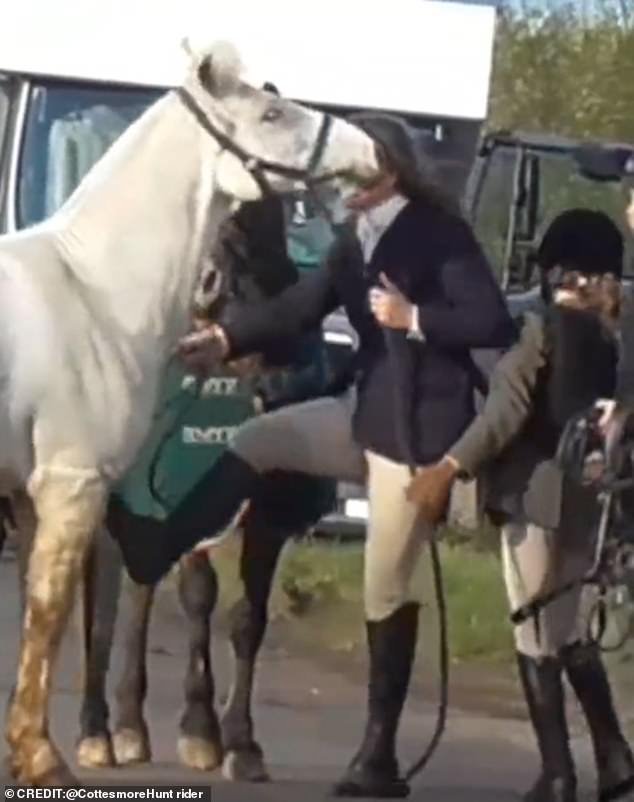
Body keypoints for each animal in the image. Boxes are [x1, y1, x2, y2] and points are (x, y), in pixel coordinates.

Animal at [0, 39, 376, 780]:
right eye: (271, 114)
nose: (369, 149)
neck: (91, 290)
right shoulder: (71, 487)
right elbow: (55, 616)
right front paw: (45, 758)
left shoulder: (36, 497)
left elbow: (42, 618)